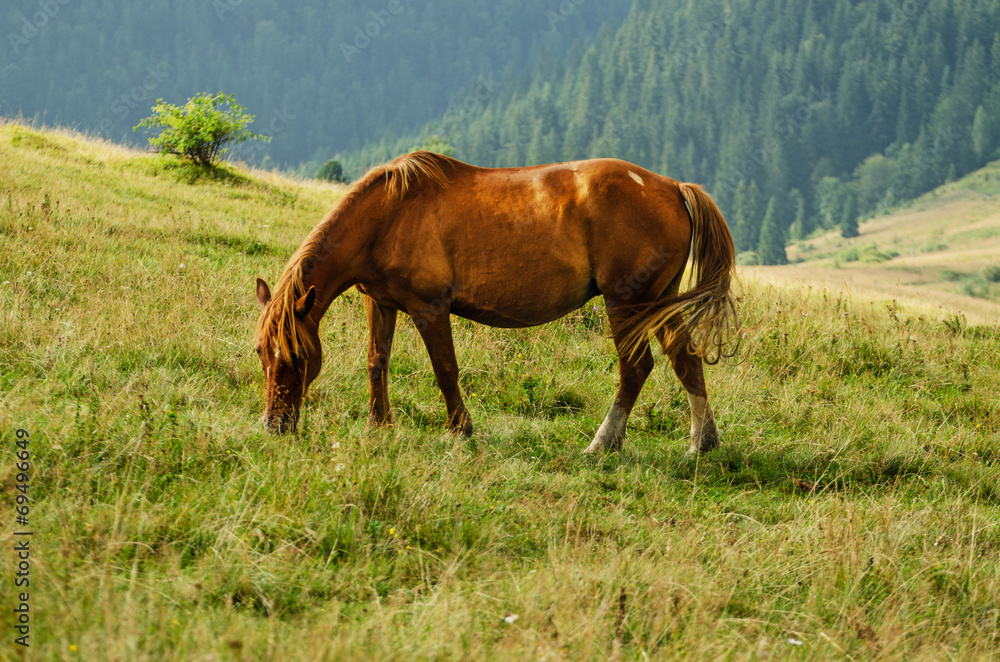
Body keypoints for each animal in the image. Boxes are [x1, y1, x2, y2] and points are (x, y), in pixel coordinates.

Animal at [254, 151, 739, 454]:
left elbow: (445, 370)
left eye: (297, 357)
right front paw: (380, 424)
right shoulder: (382, 303)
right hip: (659, 300)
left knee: (635, 368)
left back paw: (603, 443)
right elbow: (377, 362)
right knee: (685, 359)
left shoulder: (429, 308)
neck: (389, 214)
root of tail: (674, 187)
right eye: (262, 353)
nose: (275, 426)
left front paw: (460, 431)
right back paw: (701, 443)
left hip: (627, 303)